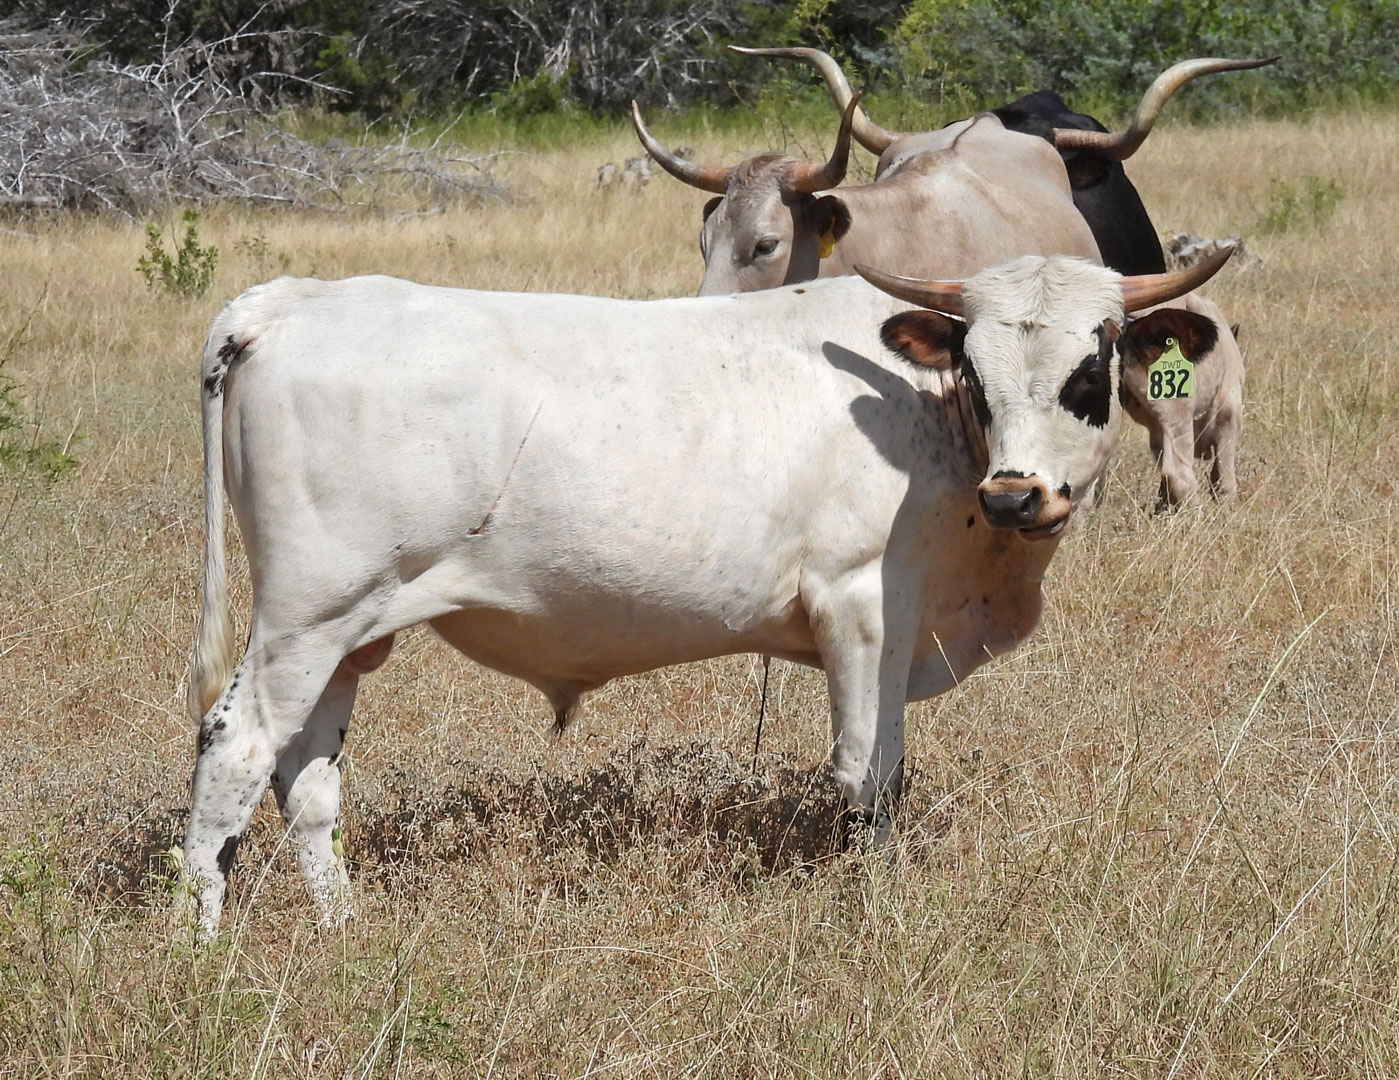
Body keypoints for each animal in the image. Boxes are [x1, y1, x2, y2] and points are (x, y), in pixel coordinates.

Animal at [180, 246, 1231, 934]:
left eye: (1092, 360)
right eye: (974, 364)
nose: (1016, 494)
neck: (926, 419)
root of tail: (286, 301)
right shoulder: (862, 608)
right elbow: (869, 774)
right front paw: (873, 912)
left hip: (351, 632)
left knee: (307, 778)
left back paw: (341, 930)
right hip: (305, 618)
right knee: (237, 747)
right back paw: (204, 947)